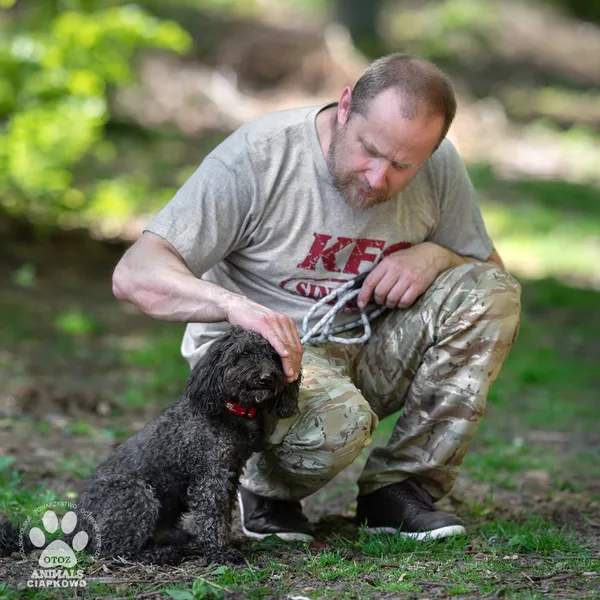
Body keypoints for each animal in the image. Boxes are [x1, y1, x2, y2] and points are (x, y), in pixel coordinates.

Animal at [0, 326, 300, 564]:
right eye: (243, 354)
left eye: (273, 355)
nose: (267, 377)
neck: (231, 410)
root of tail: (76, 530)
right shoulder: (211, 478)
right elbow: (212, 518)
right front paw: (220, 552)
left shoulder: (230, 472)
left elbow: (223, 514)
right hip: (136, 495)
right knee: (114, 550)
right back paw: (161, 554)